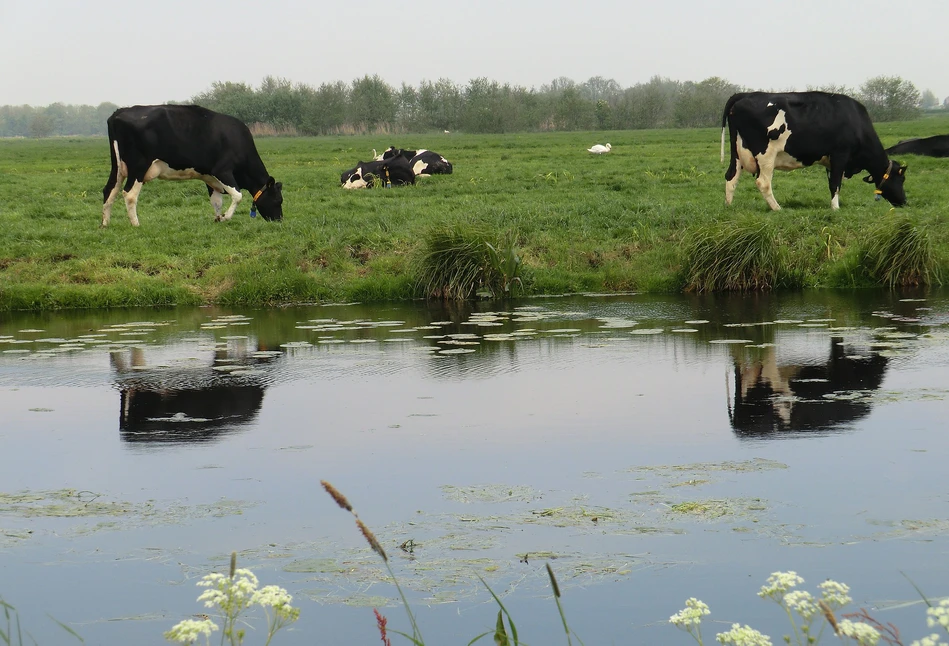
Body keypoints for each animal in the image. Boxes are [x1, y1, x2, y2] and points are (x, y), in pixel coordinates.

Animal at [103, 105, 284, 227]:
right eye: (278, 200)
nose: (279, 220)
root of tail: (119, 112)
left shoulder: (210, 176)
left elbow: (216, 201)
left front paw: (218, 218)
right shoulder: (222, 170)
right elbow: (238, 196)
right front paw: (225, 217)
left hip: (118, 167)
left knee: (109, 190)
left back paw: (105, 224)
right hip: (138, 167)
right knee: (129, 194)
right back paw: (136, 224)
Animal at [724, 91, 908, 210]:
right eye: (901, 179)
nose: (905, 202)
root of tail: (745, 95)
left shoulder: (830, 162)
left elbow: (832, 183)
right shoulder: (840, 154)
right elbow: (836, 183)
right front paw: (835, 209)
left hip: (737, 153)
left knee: (731, 176)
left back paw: (729, 207)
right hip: (766, 154)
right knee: (763, 182)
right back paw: (777, 208)